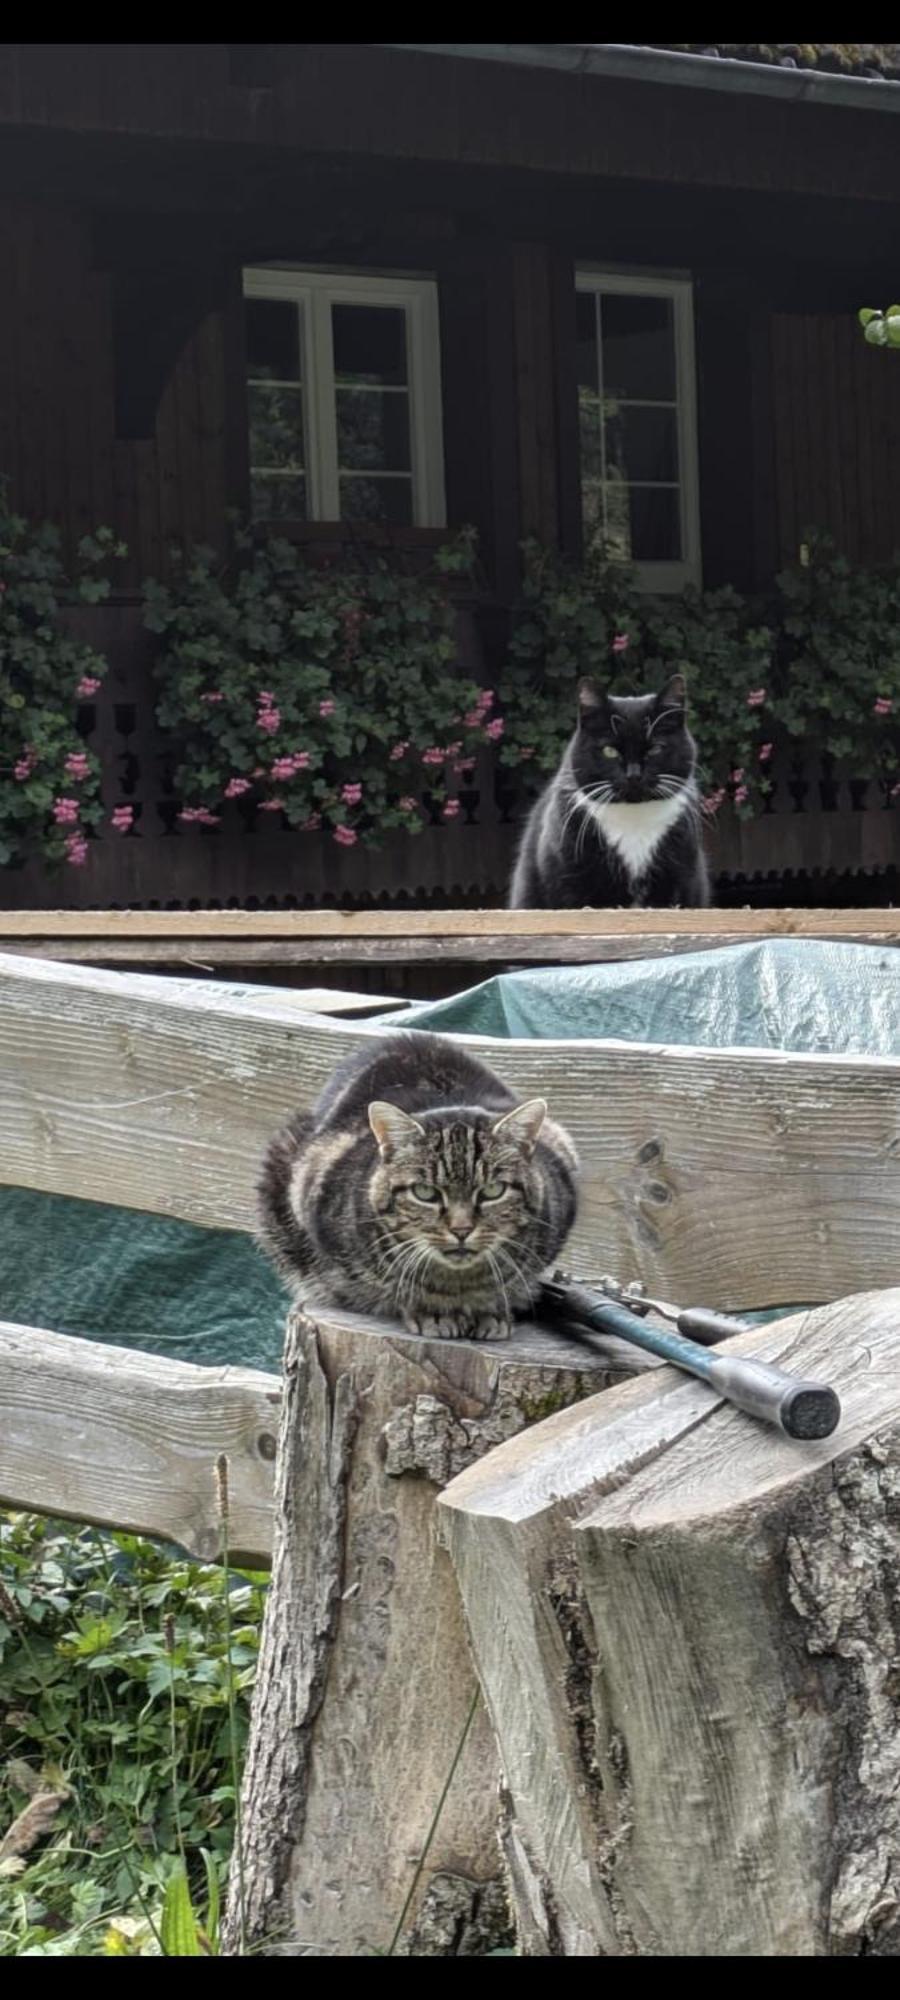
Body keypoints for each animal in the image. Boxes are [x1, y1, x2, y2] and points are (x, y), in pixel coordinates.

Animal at [255, 1032, 576, 1344]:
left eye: (493, 1191)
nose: (461, 1230)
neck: (460, 1283)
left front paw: (492, 1311)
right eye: (425, 1193)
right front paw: (433, 1312)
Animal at [506, 680, 712, 916]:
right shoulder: (568, 873)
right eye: (609, 751)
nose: (634, 774)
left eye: (655, 749)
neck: (634, 817)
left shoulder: (680, 875)